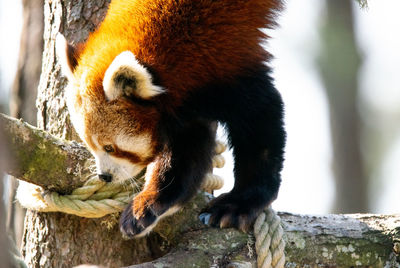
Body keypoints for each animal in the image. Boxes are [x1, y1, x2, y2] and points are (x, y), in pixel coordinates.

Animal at [57, 0, 286, 239]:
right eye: (90, 145)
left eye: (110, 147)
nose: (105, 176)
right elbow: (186, 153)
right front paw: (151, 204)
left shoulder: (228, 55)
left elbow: (261, 117)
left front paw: (238, 204)